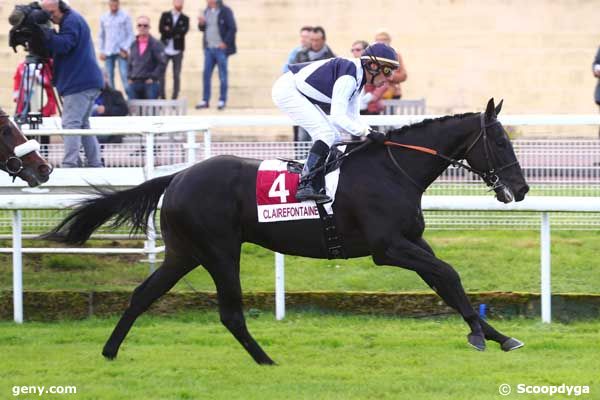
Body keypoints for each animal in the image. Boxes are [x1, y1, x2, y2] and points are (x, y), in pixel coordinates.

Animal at [44, 98, 528, 364]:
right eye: (501, 141)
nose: (522, 189)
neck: (394, 170)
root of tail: (178, 176)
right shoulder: (388, 247)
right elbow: (449, 274)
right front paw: (478, 335)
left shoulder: (412, 241)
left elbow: (444, 281)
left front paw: (498, 336)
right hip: (220, 251)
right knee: (230, 313)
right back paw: (266, 361)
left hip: (184, 252)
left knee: (143, 294)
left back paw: (110, 352)